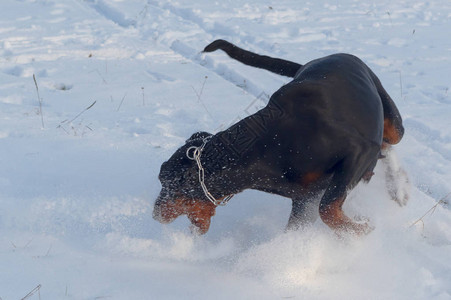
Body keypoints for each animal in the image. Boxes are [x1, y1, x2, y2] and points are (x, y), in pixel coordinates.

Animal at [154, 39, 404, 236]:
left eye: (169, 186)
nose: (155, 215)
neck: (268, 146)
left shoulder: (358, 151)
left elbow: (328, 208)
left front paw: (361, 229)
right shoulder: (304, 200)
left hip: (392, 122)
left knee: (389, 143)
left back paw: (399, 189)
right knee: (384, 149)